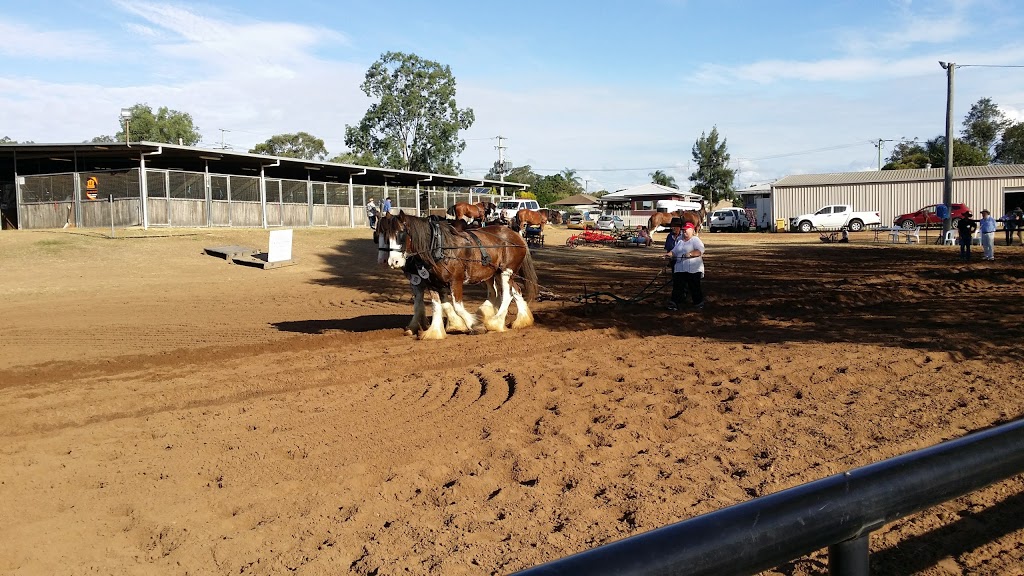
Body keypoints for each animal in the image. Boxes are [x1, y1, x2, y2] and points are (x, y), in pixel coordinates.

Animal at [376, 210, 536, 336]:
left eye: (401, 234)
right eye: (384, 235)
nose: (392, 261)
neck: (438, 247)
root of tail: (516, 235)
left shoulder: (455, 281)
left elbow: (457, 307)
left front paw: (475, 325)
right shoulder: (431, 283)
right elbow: (437, 306)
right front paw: (435, 331)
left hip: (506, 272)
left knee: (507, 295)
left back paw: (495, 323)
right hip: (497, 273)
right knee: (515, 290)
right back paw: (522, 321)